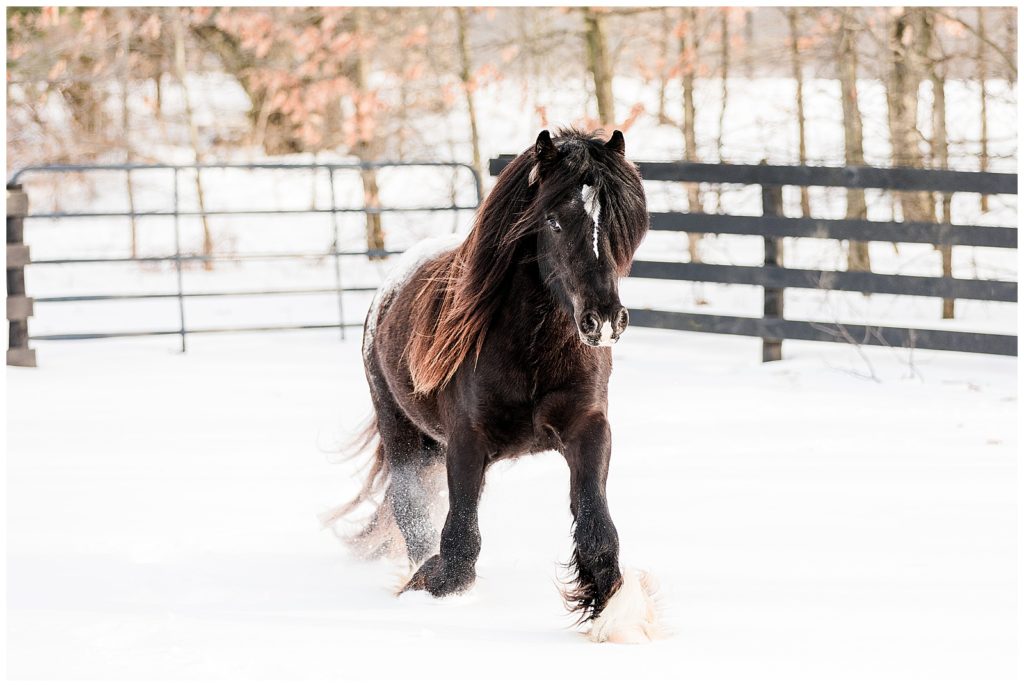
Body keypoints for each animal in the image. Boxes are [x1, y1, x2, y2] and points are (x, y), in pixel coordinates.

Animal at [327, 129, 663, 647]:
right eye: (553, 220)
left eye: (619, 223)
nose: (604, 321)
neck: (533, 351)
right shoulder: (467, 440)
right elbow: (461, 539)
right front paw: (432, 589)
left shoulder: (588, 429)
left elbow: (596, 526)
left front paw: (614, 613)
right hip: (400, 431)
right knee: (410, 507)